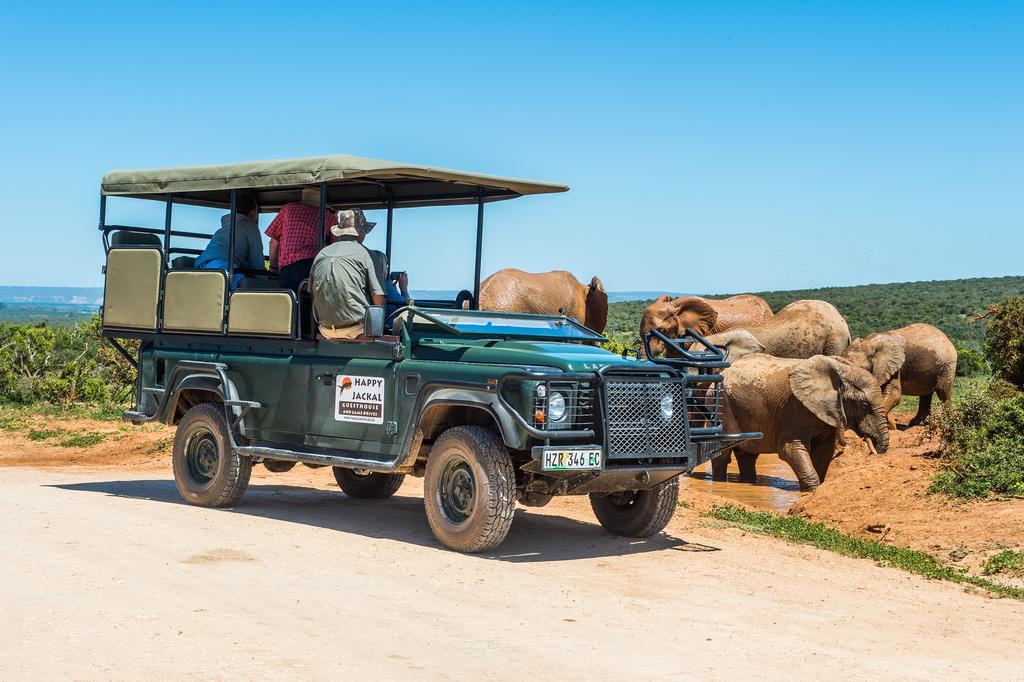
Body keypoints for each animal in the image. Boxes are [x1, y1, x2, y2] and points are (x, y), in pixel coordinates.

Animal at [712, 352, 888, 491]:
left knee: (748, 455)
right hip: (722, 405)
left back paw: (749, 482)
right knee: (722, 454)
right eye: (864, 405)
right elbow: (789, 448)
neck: (841, 370)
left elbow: (824, 450)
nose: (875, 451)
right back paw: (719, 482)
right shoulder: (794, 408)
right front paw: (811, 491)